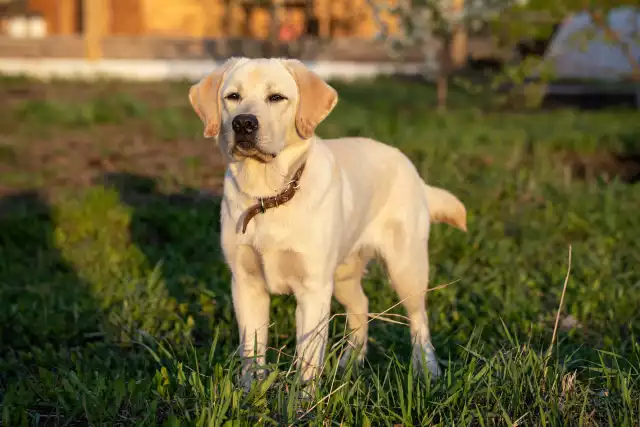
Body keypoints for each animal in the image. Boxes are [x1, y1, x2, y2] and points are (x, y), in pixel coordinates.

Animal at [188, 56, 468, 388]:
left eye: (276, 97)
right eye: (233, 97)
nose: (243, 123)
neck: (268, 195)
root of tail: (409, 166)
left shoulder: (312, 289)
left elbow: (308, 360)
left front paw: (303, 400)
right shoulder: (246, 284)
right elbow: (252, 354)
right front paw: (251, 394)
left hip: (405, 268)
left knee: (419, 319)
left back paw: (428, 369)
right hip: (343, 274)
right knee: (361, 308)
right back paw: (350, 364)